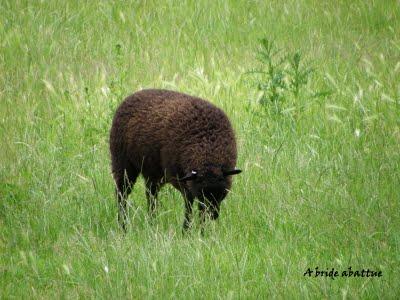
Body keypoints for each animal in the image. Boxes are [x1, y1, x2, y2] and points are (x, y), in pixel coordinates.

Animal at [108, 89, 241, 232]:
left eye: (222, 193)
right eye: (202, 193)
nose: (214, 216)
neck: (208, 151)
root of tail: (132, 95)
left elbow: (200, 211)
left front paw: (202, 231)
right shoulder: (182, 180)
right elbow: (189, 205)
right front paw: (186, 230)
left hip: (152, 172)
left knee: (151, 195)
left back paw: (152, 223)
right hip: (123, 163)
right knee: (122, 194)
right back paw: (123, 226)